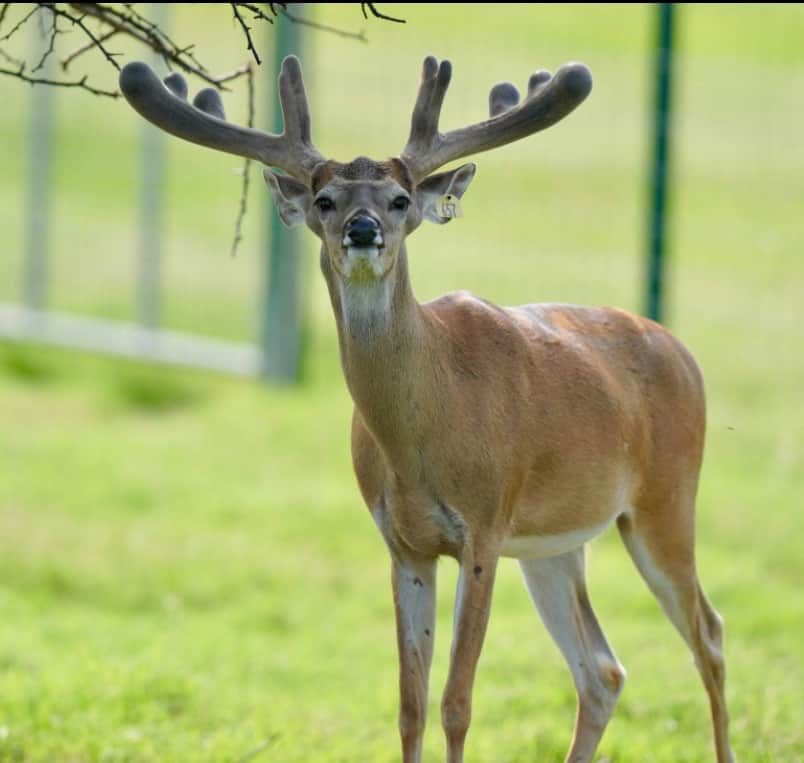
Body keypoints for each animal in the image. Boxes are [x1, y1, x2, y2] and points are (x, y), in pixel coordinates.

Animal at [119, 53, 735, 763]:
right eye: (325, 201)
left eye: (398, 199)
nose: (362, 230)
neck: (425, 432)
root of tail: (683, 353)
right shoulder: (403, 543)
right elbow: (410, 704)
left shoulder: (484, 526)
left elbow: (456, 702)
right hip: (555, 543)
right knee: (602, 670)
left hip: (666, 499)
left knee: (709, 635)